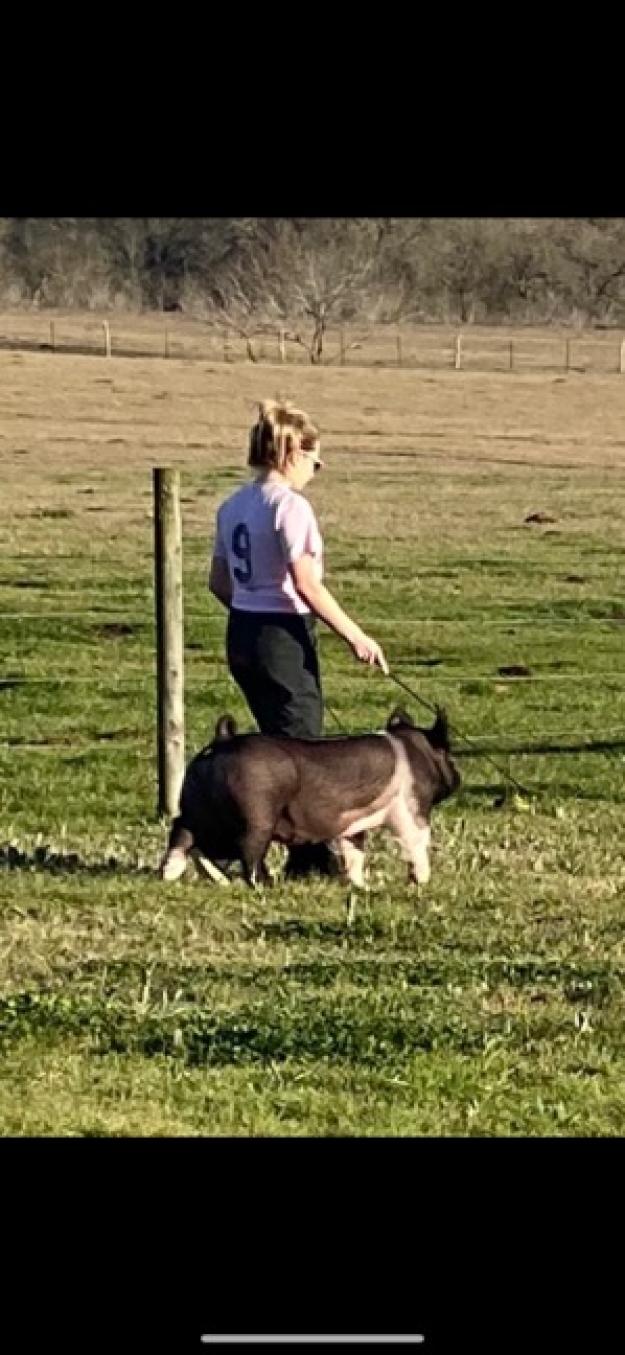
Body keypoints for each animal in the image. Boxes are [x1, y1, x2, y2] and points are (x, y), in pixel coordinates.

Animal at [160, 706, 460, 891]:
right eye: (449, 754)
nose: (458, 776)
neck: (416, 750)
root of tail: (223, 741)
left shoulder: (352, 826)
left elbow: (355, 853)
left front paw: (360, 886)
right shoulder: (411, 810)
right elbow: (417, 844)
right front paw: (422, 882)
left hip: (196, 806)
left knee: (183, 834)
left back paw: (173, 874)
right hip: (258, 815)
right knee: (248, 851)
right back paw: (264, 885)